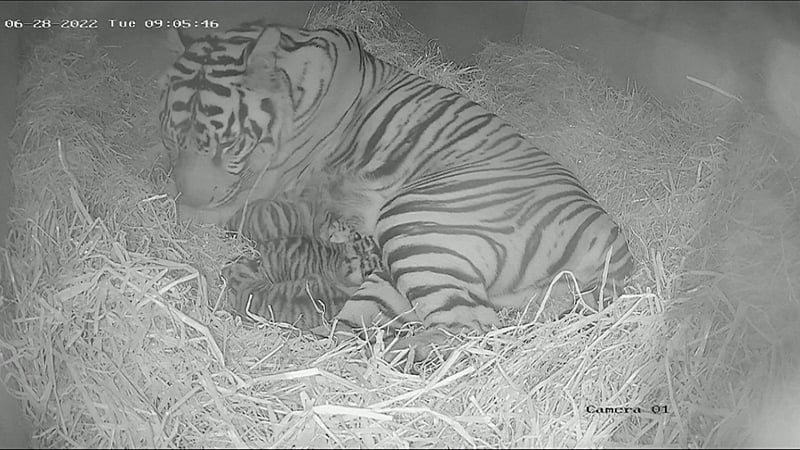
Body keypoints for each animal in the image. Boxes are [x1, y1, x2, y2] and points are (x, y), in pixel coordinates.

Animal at [159, 21, 635, 361]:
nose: (196, 192)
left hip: (416, 220)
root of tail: (614, 243)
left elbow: (201, 207)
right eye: (174, 136)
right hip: (397, 275)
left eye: (226, 143)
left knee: (474, 328)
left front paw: (180, 208)